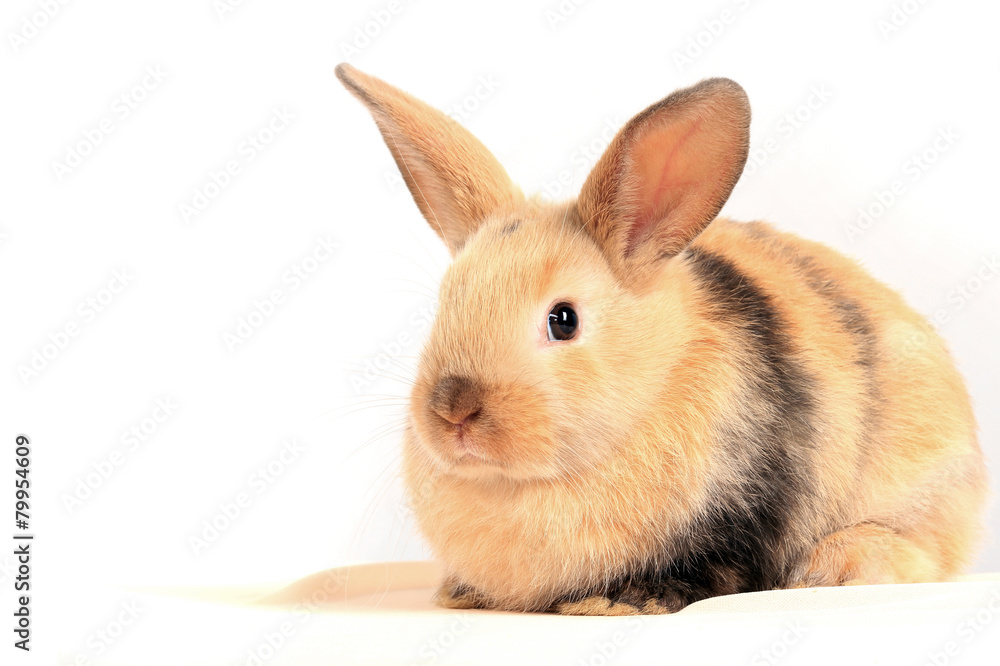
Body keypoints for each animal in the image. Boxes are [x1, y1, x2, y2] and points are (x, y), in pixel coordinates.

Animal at [334, 63, 988, 615]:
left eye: (563, 320)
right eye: (445, 304)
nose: (453, 411)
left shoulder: (736, 522)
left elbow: (709, 568)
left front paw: (614, 602)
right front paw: (461, 593)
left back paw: (837, 567)